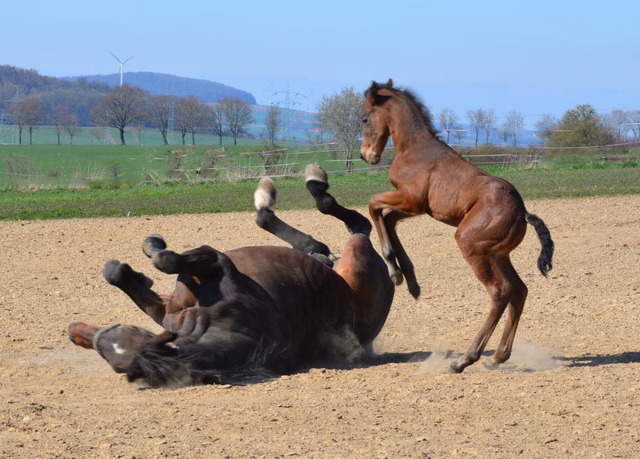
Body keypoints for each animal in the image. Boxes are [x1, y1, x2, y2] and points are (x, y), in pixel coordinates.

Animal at [360, 80, 556, 374]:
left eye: (364, 118)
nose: (366, 156)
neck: (414, 148)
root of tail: (522, 212)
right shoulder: (417, 207)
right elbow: (389, 219)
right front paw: (411, 282)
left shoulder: (410, 199)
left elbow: (373, 205)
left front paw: (394, 272)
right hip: (498, 254)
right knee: (519, 291)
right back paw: (497, 357)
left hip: (470, 245)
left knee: (500, 292)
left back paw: (465, 359)